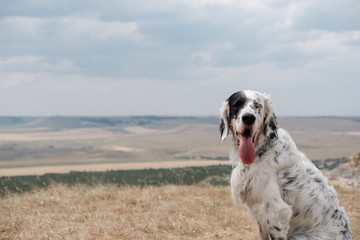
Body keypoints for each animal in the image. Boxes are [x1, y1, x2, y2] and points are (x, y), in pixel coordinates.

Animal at [218, 90, 352, 240]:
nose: (248, 118)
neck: (263, 150)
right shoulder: (261, 214)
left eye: (258, 105)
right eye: (237, 104)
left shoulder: (277, 212)